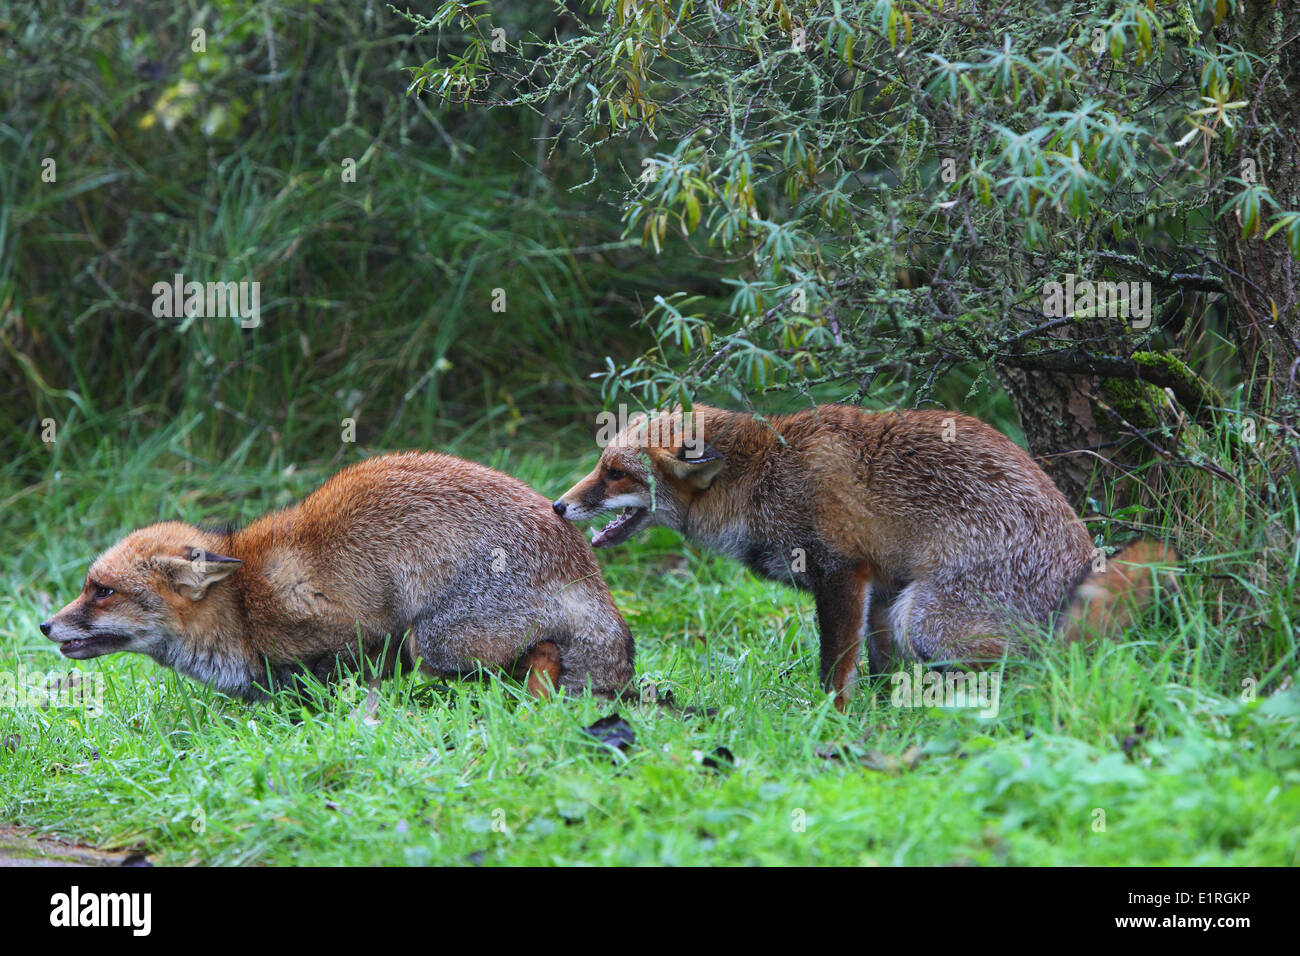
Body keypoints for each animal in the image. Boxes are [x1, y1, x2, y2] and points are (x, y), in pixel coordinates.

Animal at [39, 452, 629, 697]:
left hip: (435, 642)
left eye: (102, 592)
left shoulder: (358, 634)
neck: (242, 608)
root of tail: (581, 562)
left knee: (538, 652)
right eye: (88, 587)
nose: (44, 625)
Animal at [551, 403, 1180, 712]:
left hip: (924, 615)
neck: (761, 478)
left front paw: (831, 718)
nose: (558, 505)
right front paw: (877, 706)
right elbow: (875, 661)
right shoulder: (880, 581)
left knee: (1037, 664)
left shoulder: (841, 570)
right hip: (911, 605)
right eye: (602, 466)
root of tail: (1079, 564)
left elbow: (834, 664)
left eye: (616, 474)